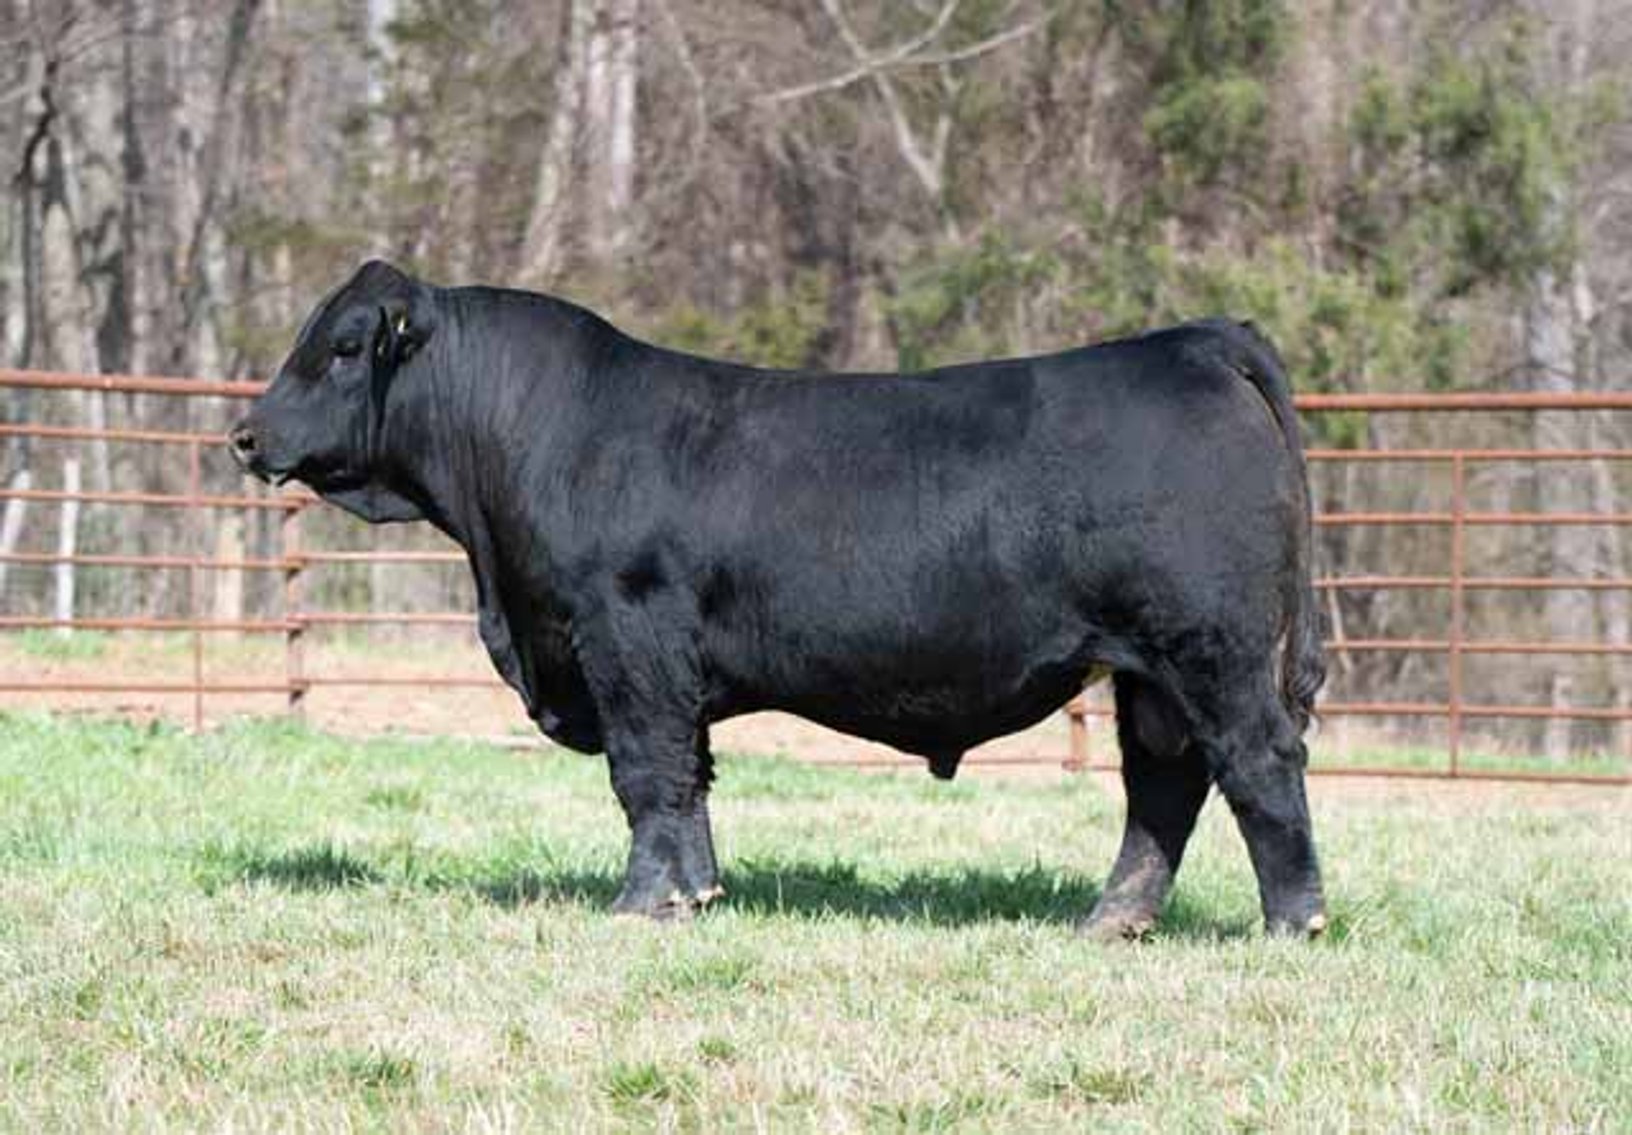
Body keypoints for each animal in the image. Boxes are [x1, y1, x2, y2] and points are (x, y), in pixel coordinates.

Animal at [230, 260, 1328, 937]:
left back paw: (1293, 920)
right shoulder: (668, 668)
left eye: (341, 348)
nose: (245, 434)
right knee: (1164, 785)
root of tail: (1195, 340)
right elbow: (692, 779)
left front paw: (638, 904)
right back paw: (1111, 920)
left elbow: (646, 775)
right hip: (1150, 672)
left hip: (1211, 648)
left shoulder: (624, 639)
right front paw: (697, 894)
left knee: (1256, 762)